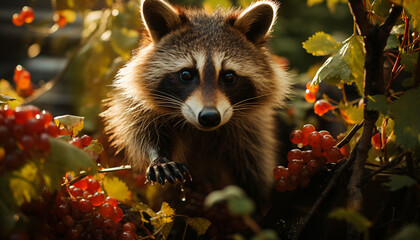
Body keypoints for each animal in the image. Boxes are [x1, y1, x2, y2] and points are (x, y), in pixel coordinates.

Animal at [103, 0, 290, 206]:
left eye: (229, 76)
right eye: (186, 74)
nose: (209, 117)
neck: (199, 130)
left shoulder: (251, 130)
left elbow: (254, 169)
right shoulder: (138, 107)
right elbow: (140, 132)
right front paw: (158, 156)